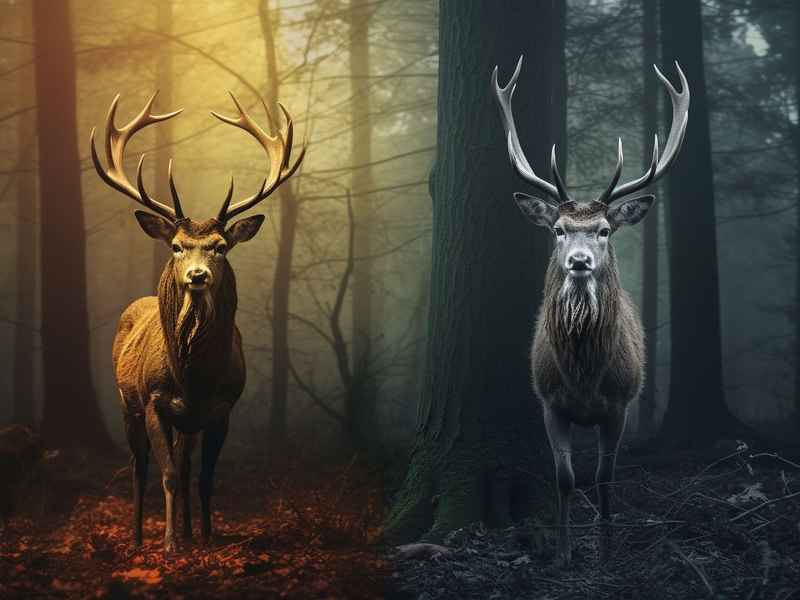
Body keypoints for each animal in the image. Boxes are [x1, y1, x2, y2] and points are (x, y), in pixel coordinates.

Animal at [90, 92, 305, 552]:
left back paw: (189, 529)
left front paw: (205, 536)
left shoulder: (222, 407)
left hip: (186, 422)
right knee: (139, 468)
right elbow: (168, 475)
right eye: (176, 246)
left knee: (186, 464)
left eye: (221, 246)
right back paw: (138, 537)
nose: (197, 275)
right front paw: (170, 543)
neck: (193, 378)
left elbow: (204, 477)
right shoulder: (154, 400)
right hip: (127, 403)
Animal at [492, 56, 689, 563]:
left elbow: (604, 477)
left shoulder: (619, 405)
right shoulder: (548, 402)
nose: (579, 261)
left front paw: (605, 547)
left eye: (603, 230)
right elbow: (565, 477)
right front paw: (564, 552)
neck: (582, 377)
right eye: (559, 229)